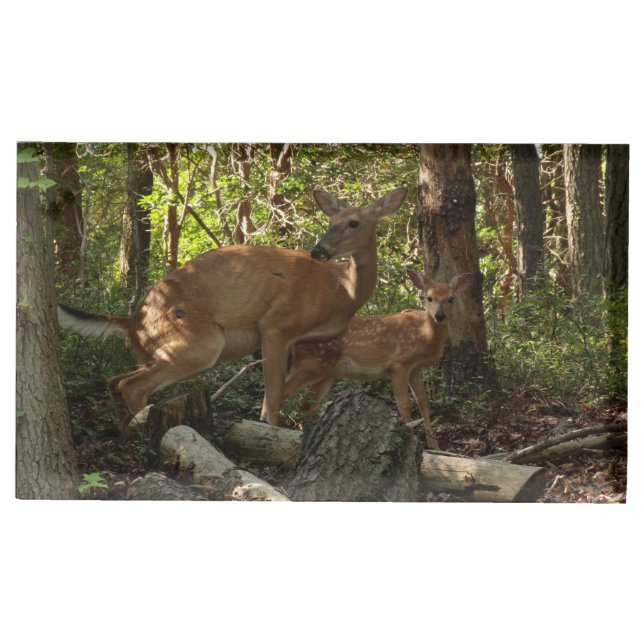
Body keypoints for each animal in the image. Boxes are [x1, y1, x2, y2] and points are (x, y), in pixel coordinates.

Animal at [57, 187, 408, 426]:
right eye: (331, 220)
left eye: (353, 223)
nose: (319, 250)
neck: (341, 290)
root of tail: (131, 321)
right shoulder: (276, 324)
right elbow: (274, 395)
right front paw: (272, 432)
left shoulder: (296, 341)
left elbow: (280, 394)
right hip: (200, 342)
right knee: (131, 386)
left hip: (155, 351)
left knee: (115, 380)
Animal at [280, 270, 472, 448]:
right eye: (429, 298)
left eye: (451, 299)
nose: (439, 316)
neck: (424, 333)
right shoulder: (399, 364)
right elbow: (404, 404)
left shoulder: (415, 369)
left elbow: (423, 402)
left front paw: (435, 446)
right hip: (311, 364)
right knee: (283, 392)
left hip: (327, 373)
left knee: (307, 404)